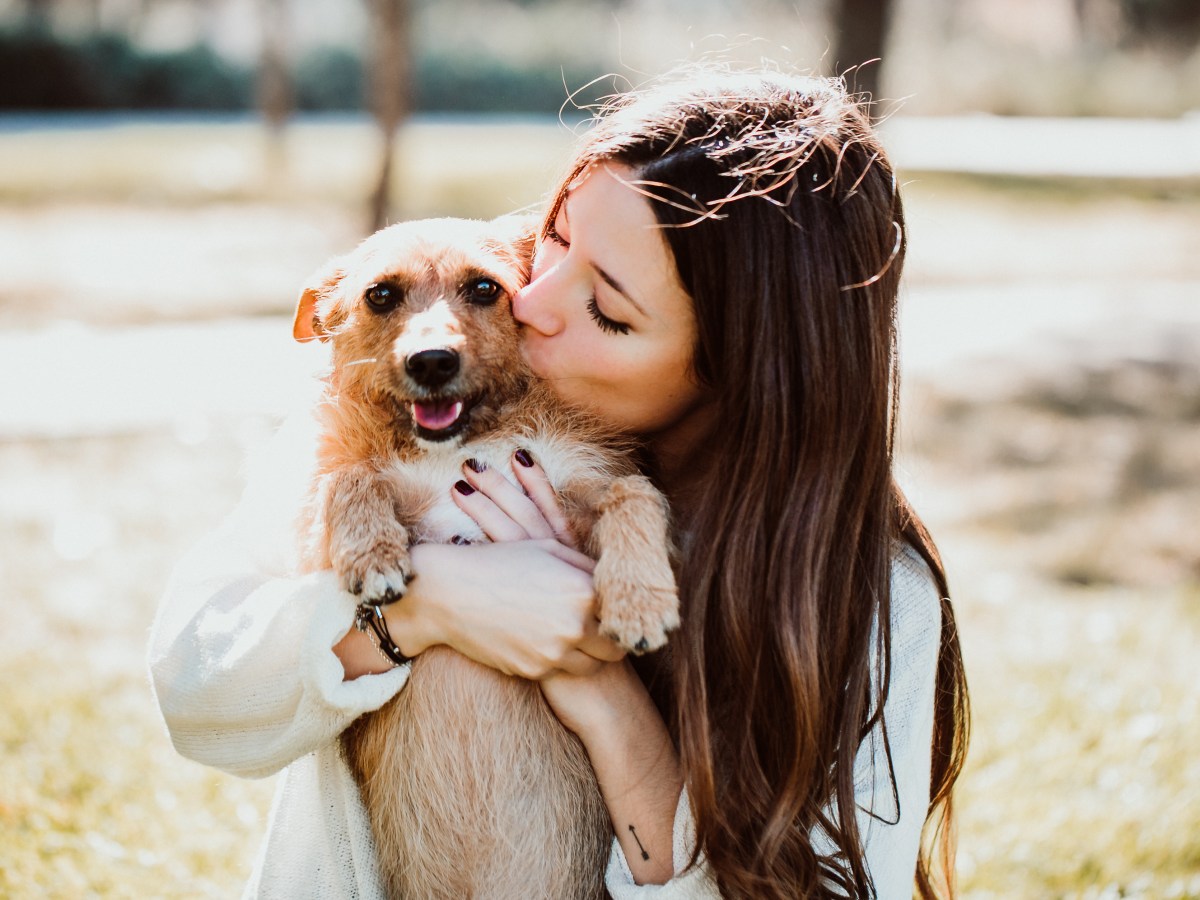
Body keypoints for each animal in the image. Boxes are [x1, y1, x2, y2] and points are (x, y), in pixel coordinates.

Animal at [290, 218, 681, 900]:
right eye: (381, 295)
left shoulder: (580, 493)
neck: (463, 445)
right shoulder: (316, 539)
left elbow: (634, 493)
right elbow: (348, 476)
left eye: (483, 288)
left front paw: (639, 598)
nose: (432, 361)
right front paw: (371, 552)